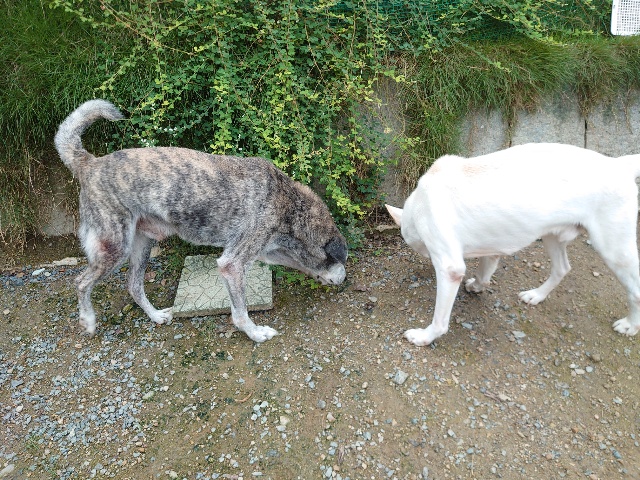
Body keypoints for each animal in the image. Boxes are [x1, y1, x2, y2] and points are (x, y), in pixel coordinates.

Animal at [55, 99, 347, 342]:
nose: (345, 280)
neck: (291, 205)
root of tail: (89, 163)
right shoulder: (233, 264)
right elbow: (240, 312)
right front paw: (255, 333)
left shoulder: (265, 251)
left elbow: (298, 263)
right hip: (114, 248)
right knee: (81, 282)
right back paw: (88, 321)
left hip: (142, 244)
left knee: (133, 285)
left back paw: (155, 316)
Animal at [386, 143, 640, 346]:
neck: (417, 206)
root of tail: (620, 164)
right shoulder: (491, 249)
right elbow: (484, 274)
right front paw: (477, 286)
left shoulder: (450, 268)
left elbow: (440, 320)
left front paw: (425, 337)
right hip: (552, 236)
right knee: (562, 268)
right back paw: (537, 295)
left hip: (614, 249)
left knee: (635, 290)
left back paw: (629, 325)